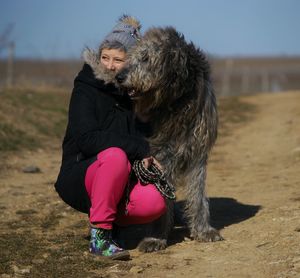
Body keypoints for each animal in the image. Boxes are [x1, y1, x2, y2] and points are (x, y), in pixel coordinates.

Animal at [116, 26, 223, 252]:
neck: (178, 102)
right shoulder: (160, 153)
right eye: (132, 56)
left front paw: (203, 230)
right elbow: (161, 198)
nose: (119, 77)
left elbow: (197, 192)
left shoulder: (197, 150)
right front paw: (156, 237)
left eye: (146, 58)